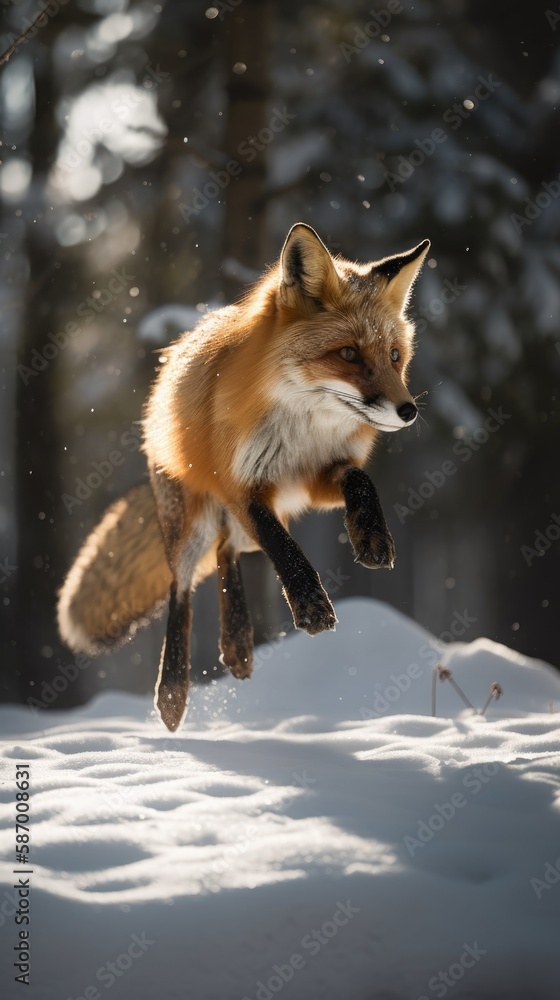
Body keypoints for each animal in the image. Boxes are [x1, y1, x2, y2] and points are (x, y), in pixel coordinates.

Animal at [58, 223, 430, 732]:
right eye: (349, 354)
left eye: (394, 355)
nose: (408, 411)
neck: (302, 430)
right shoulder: (243, 486)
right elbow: (282, 545)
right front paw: (310, 605)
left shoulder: (314, 480)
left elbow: (360, 482)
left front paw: (371, 537)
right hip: (191, 523)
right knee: (182, 585)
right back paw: (172, 692)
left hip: (241, 522)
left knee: (227, 550)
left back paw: (237, 644)